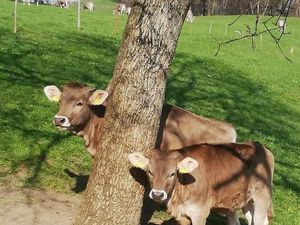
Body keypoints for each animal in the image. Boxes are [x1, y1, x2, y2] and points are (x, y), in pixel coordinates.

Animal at [129, 142, 274, 225]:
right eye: (149, 171)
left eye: (172, 173)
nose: (157, 194)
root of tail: (260, 146)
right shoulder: (184, 214)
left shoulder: (200, 212)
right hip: (247, 200)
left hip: (262, 197)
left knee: (261, 221)